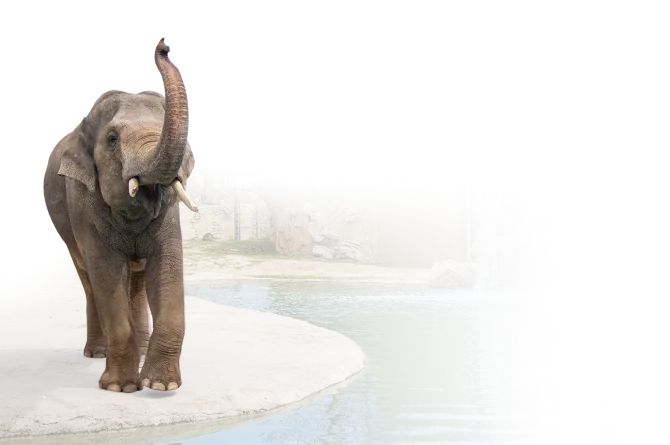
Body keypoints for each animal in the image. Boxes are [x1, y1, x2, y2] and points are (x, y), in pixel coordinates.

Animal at [43, 37, 198, 393]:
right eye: (112, 139)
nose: (163, 45)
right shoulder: (82, 201)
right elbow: (105, 271)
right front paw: (121, 388)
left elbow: (167, 264)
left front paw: (160, 386)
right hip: (65, 226)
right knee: (89, 279)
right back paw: (96, 354)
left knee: (137, 279)